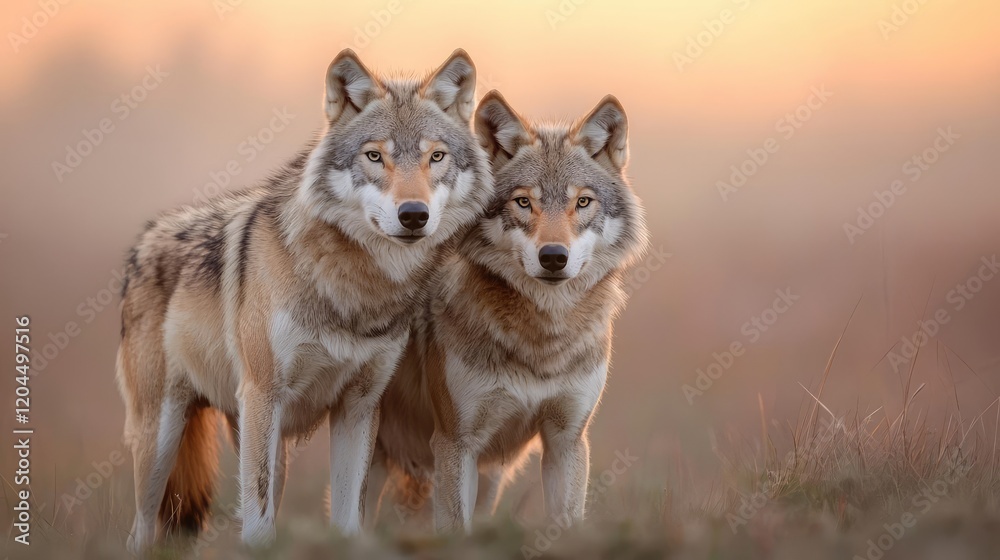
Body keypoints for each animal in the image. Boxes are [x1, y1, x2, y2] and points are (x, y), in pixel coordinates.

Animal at [115, 49, 492, 552]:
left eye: (436, 156)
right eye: (375, 156)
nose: (414, 215)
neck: (354, 292)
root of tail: (143, 242)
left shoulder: (359, 406)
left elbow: (348, 515)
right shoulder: (263, 392)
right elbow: (257, 524)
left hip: (263, 443)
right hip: (163, 439)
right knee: (140, 530)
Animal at [372, 90, 649, 531]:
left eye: (582, 202)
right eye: (523, 202)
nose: (553, 257)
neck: (543, 338)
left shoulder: (566, 440)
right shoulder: (455, 442)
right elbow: (455, 528)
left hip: (489, 477)